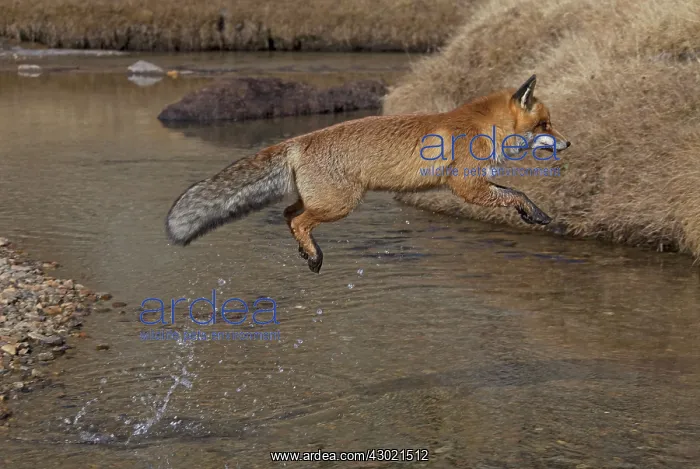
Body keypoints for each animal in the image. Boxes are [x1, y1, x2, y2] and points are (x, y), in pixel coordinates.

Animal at [166, 75, 570, 273]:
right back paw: (314, 255)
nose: (568, 143)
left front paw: (533, 213)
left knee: (286, 213)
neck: (482, 127)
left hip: (322, 201)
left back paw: (307, 253)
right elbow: (514, 193)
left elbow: (514, 192)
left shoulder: (475, 184)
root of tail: (299, 140)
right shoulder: (466, 186)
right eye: (544, 125)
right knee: (297, 220)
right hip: (341, 205)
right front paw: (532, 212)